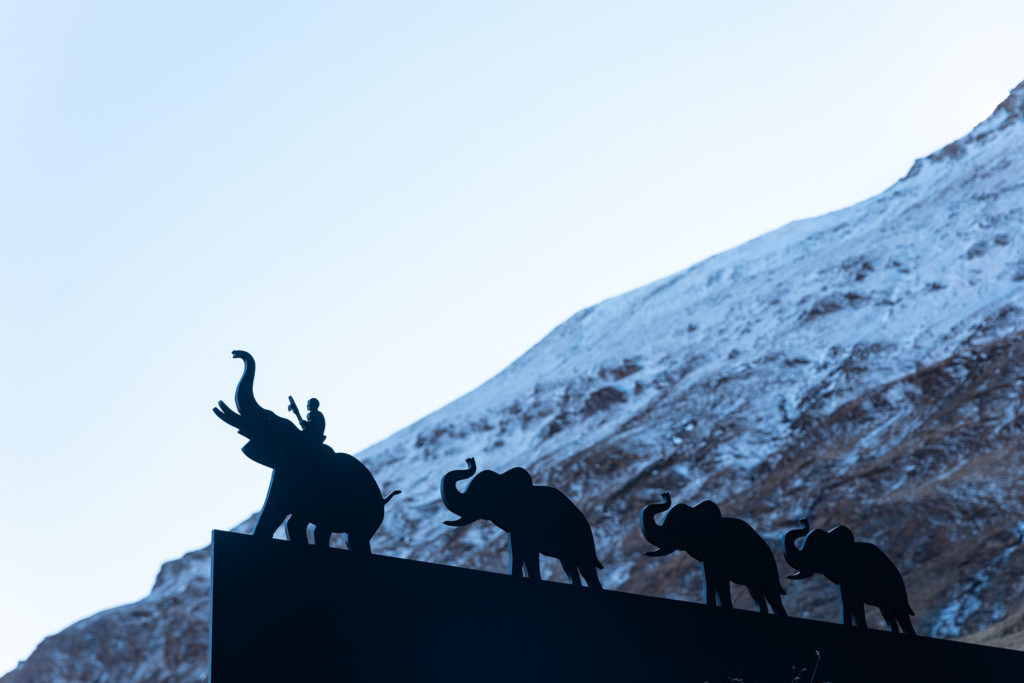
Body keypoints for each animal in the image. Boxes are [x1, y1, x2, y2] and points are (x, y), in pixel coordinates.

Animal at [214, 350, 397, 552]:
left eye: (269, 419)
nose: (234, 354)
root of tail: (383, 499)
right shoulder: (284, 474)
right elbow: (274, 512)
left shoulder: (310, 483)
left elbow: (293, 519)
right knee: (324, 530)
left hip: (367, 516)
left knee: (354, 537)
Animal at [778, 518, 917, 634]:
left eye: (816, 550)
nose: (803, 520)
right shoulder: (845, 581)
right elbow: (847, 600)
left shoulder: (853, 576)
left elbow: (854, 602)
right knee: (887, 613)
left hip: (896, 591)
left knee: (900, 614)